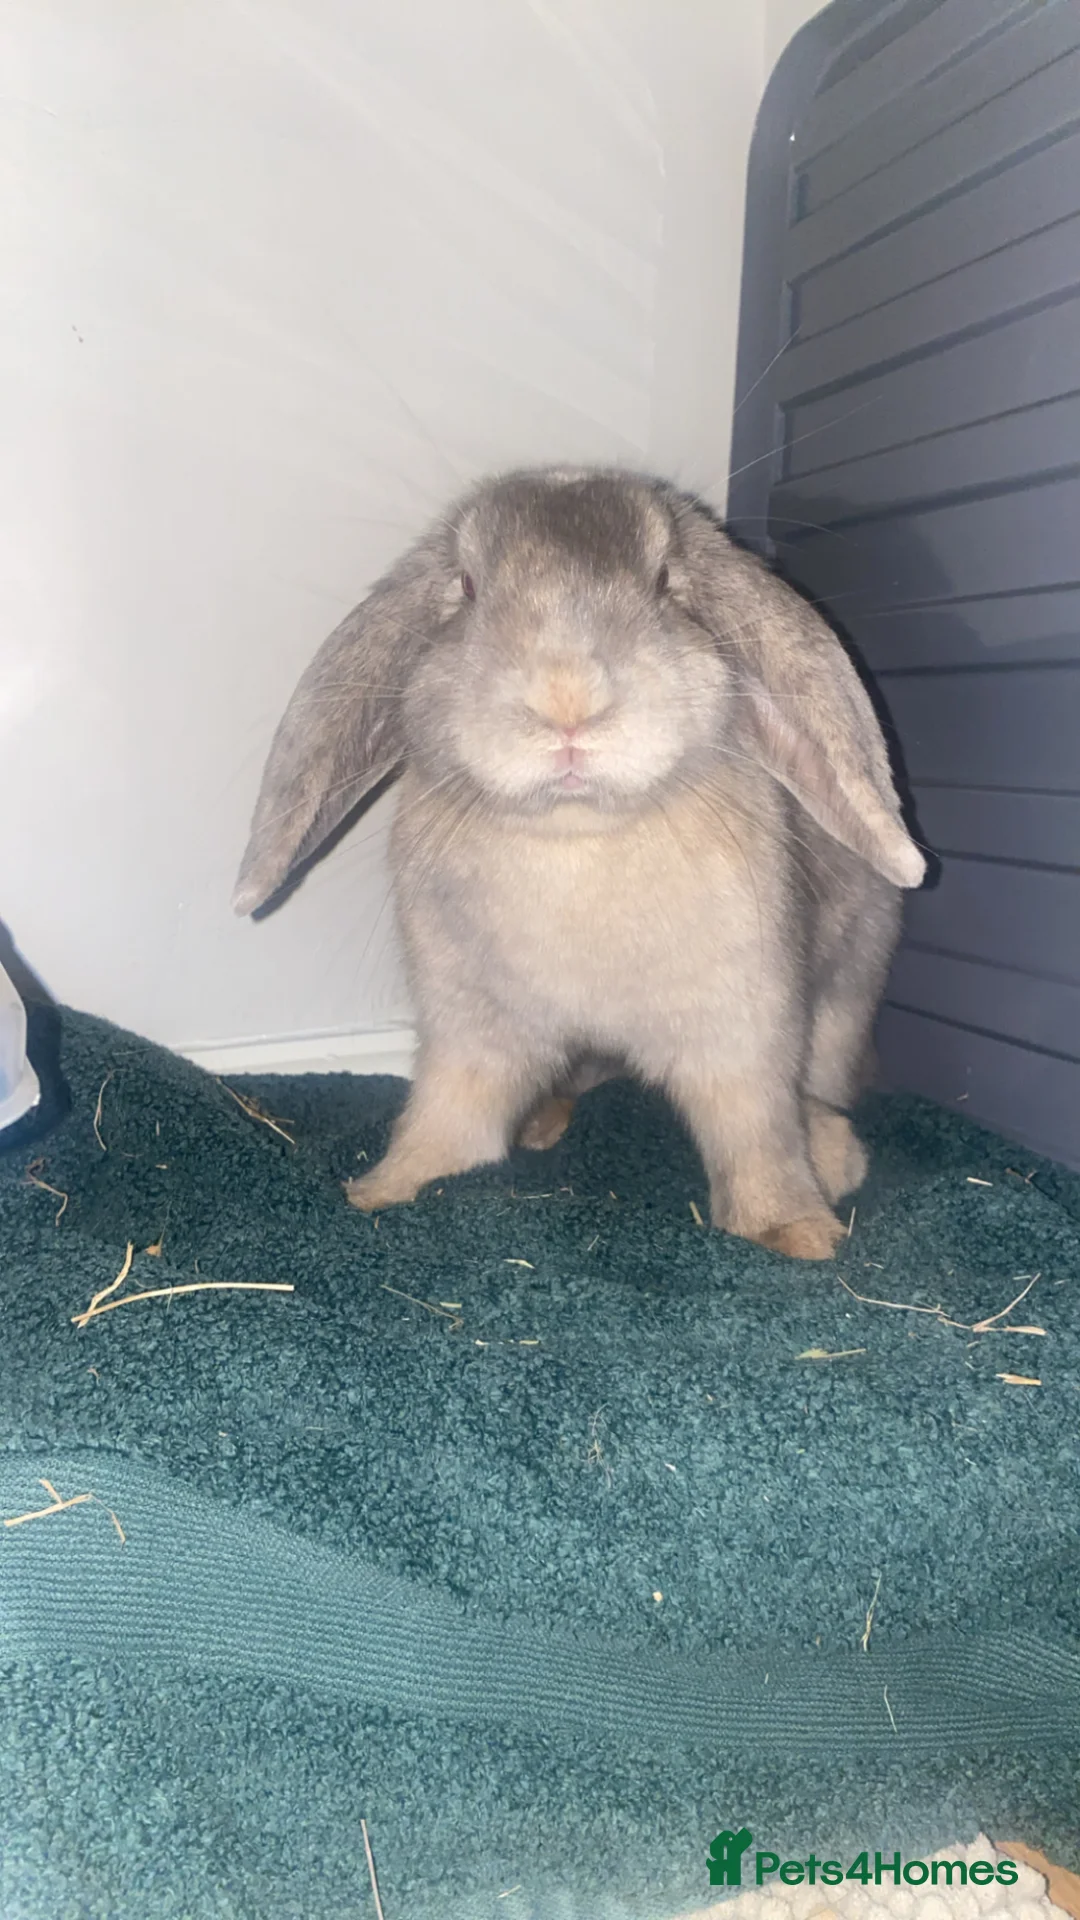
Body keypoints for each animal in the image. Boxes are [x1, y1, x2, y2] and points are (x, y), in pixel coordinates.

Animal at [234, 467, 925, 1259]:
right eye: (467, 586)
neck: (578, 837)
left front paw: (797, 1234)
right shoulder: (469, 1034)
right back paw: (540, 1125)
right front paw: (382, 1191)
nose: (565, 697)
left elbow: (755, 1135)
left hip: (845, 1001)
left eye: (665, 582)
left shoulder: (743, 1033)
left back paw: (836, 1155)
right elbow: (448, 1121)